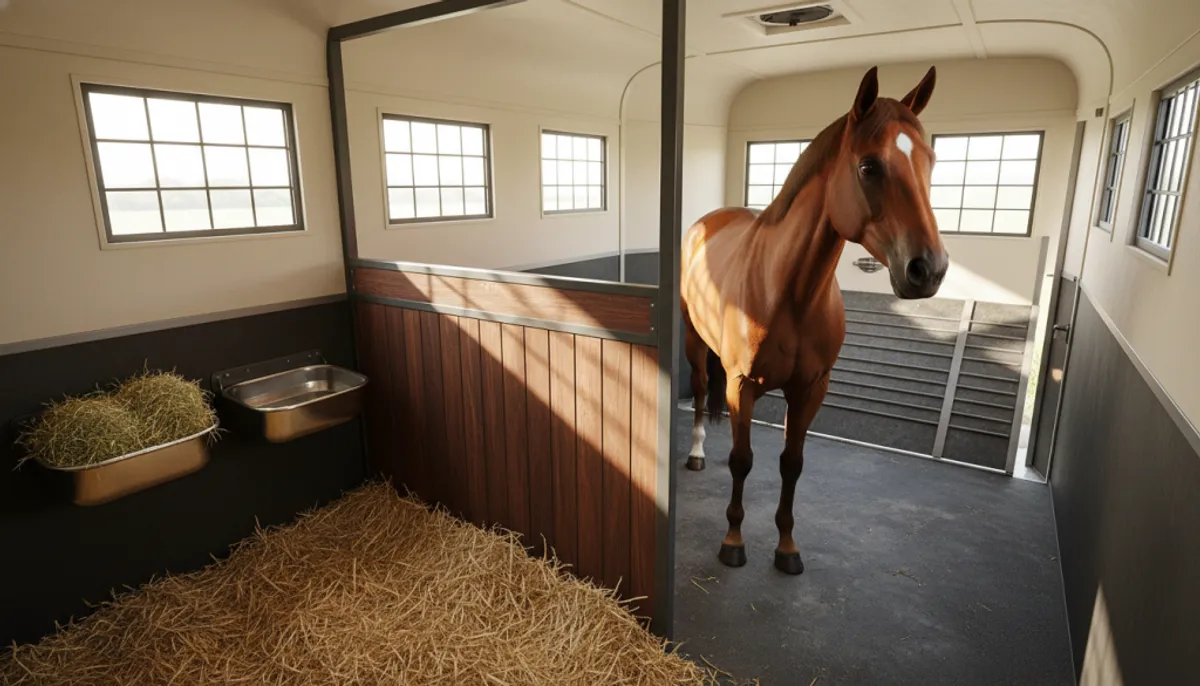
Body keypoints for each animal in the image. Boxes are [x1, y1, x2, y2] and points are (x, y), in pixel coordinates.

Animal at [679, 65, 949, 575]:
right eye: (868, 166)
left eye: (931, 161)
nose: (929, 269)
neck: (791, 294)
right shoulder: (742, 383)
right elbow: (742, 459)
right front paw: (733, 540)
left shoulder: (811, 389)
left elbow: (791, 462)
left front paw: (787, 547)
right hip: (694, 343)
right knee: (703, 391)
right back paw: (698, 452)